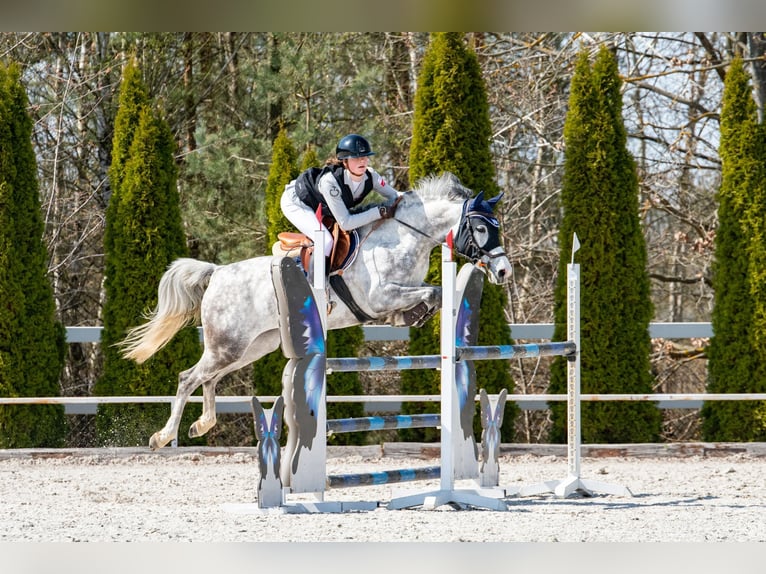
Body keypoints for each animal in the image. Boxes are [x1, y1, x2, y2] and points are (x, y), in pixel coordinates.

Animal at [118, 172, 512, 449]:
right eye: (480, 227)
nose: (504, 271)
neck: (404, 238)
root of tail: (217, 273)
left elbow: (433, 293)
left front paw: (415, 315)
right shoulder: (380, 296)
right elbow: (432, 291)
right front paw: (417, 312)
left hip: (250, 347)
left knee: (209, 378)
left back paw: (202, 424)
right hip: (227, 345)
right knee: (189, 377)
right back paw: (163, 436)